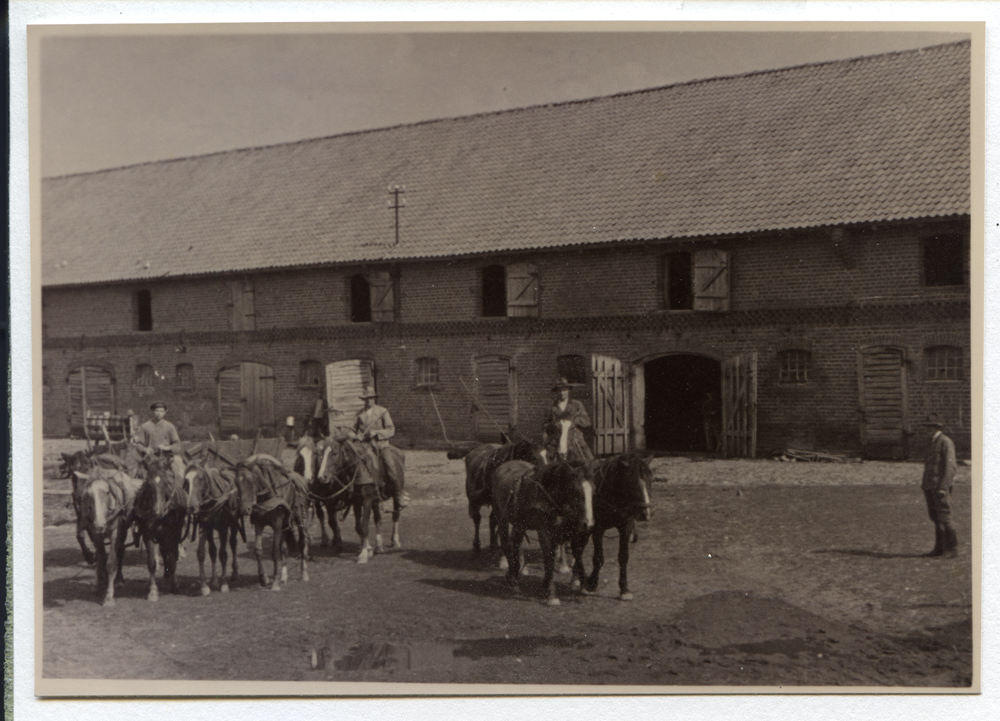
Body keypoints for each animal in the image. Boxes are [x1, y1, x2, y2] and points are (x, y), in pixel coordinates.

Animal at [73, 464, 141, 604]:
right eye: (88, 494)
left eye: (107, 492)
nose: (100, 525)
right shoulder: (95, 533)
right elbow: (101, 558)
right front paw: (100, 584)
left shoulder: (115, 532)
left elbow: (111, 562)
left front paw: (109, 596)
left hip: (123, 529)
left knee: (120, 550)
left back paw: (119, 580)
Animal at [131, 452, 189, 600]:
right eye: (149, 483)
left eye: (166, 483)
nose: (158, 511)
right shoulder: (148, 534)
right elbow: (152, 562)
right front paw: (153, 591)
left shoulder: (172, 534)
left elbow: (172, 557)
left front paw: (174, 584)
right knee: (164, 552)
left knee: (170, 554)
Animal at [236, 456, 310, 592]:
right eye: (236, 483)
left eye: (250, 482)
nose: (244, 510)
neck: (268, 497)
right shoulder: (259, 524)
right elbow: (258, 550)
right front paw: (264, 578)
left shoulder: (276, 525)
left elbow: (275, 552)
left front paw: (275, 582)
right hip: (285, 525)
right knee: (284, 549)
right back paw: (284, 577)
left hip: (301, 518)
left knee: (303, 541)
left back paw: (304, 574)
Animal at [492, 458, 592, 604]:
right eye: (577, 492)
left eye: (593, 491)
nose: (588, 523)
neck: (545, 495)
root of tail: (504, 465)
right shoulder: (543, 531)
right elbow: (549, 558)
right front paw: (551, 594)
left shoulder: (555, 530)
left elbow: (554, 555)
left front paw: (547, 585)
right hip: (501, 515)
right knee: (507, 543)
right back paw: (512, 576)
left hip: (519, 524)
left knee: (516, 542)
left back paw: (515, 574)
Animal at [572, 450, 656, 600]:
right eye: (631, 481)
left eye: (650, 479)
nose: (647, 512)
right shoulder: (597, 529)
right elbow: (598, 558)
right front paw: (592, 584)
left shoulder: (626, 527)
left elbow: (623, 557)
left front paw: (624, 589)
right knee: (577, 549)